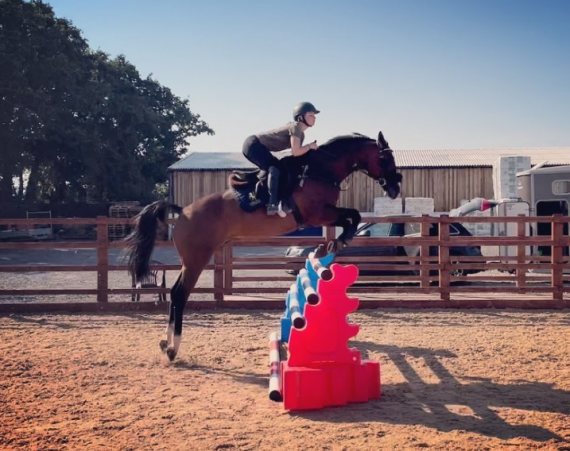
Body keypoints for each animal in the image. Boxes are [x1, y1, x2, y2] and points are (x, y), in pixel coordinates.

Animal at [126, 131, 402, 360]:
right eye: (385, 159)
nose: (395, 188)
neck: (320, 170)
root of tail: (183, 211)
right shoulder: (318, 214)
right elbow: (352, 215)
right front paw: (340, 239)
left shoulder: (324, 214)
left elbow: (352, 216)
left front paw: (333, 244)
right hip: (196, 259)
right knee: (179, 294)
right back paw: (174, 348)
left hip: (190, 261)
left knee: (174, 293)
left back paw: (165, 343)